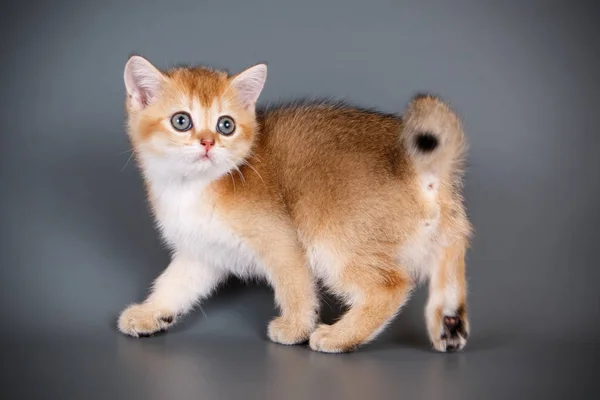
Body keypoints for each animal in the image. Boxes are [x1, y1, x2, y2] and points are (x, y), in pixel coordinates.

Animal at [117, 54, 472, 352]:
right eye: (181, 121)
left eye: (226, 125)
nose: (208, 143)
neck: (191, 187)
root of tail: (417, 166)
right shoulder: (202, 253)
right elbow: (174, 284)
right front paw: (151, 314)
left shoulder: (282, 241)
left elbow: (295, 286)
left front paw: (296, 329)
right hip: (441, 229)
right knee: (452, 250)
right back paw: (449, 322)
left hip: (331, 240)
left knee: (390, 286)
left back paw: (339, 336)